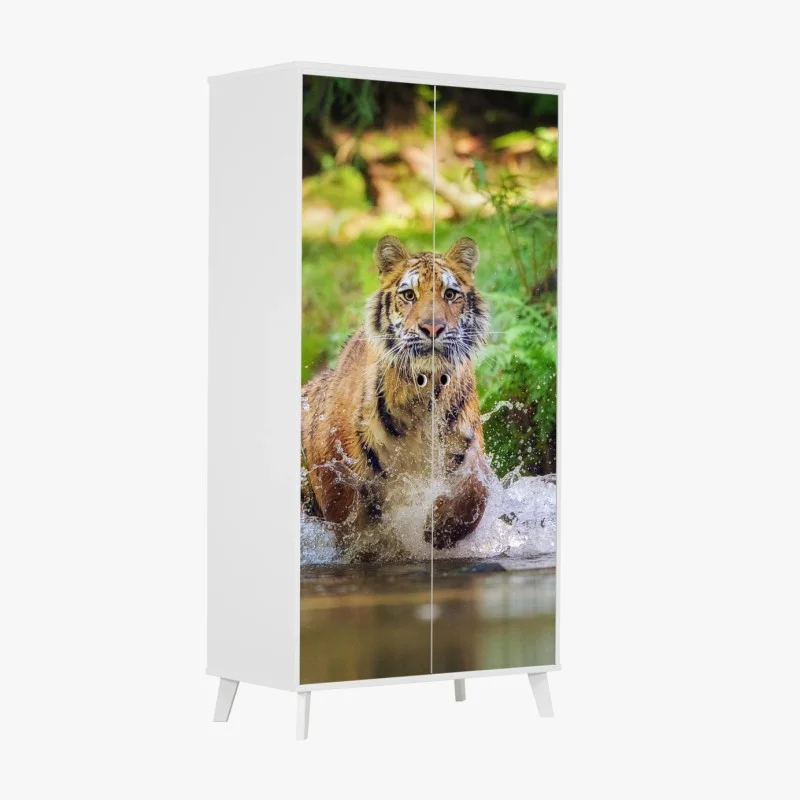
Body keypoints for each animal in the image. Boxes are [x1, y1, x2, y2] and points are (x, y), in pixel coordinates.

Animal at [301, 235, 490, 554]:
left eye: (450, 294)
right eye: (409, 295)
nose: (433, 328)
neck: (422, 393)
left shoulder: (469, 448)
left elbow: (475, 494)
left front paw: (437, 530)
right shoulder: (332, 462)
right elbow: (349, 518)